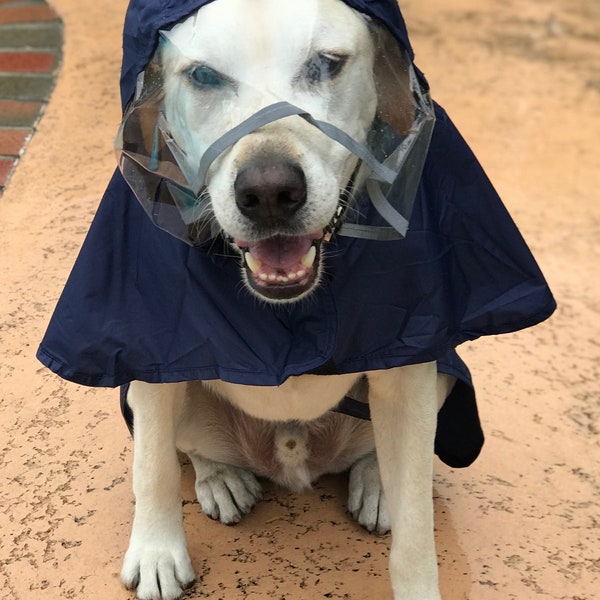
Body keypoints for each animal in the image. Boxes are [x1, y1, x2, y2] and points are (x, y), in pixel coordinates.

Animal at [119, 1, 452, 600]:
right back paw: (222, 478)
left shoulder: (410, 362)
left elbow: (416, 528)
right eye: (203, 76)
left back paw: (377, 483)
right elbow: (151, 464)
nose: (269, 192)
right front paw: (157, 550)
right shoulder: (153, 350)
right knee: (185, 446)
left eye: (327, 63)